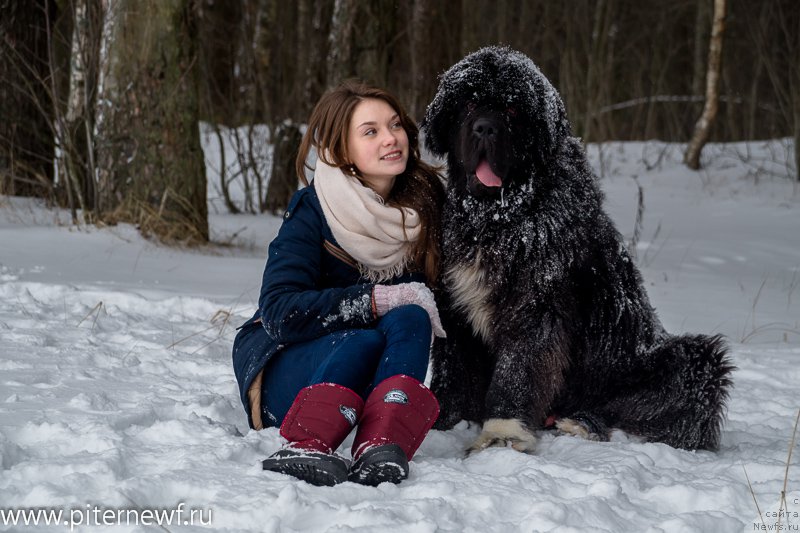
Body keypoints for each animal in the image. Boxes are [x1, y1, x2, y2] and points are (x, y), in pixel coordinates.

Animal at [422, 46, 736, 454]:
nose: (485, 128)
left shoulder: (536, 304)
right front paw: (441, 421)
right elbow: (453, 371)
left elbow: (518, 367)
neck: (499, 218)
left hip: (687, 362)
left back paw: (585, 423)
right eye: (470, 102)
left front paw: (502, 434)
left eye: (513, 110)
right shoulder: (454, 306)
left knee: (657, 411)